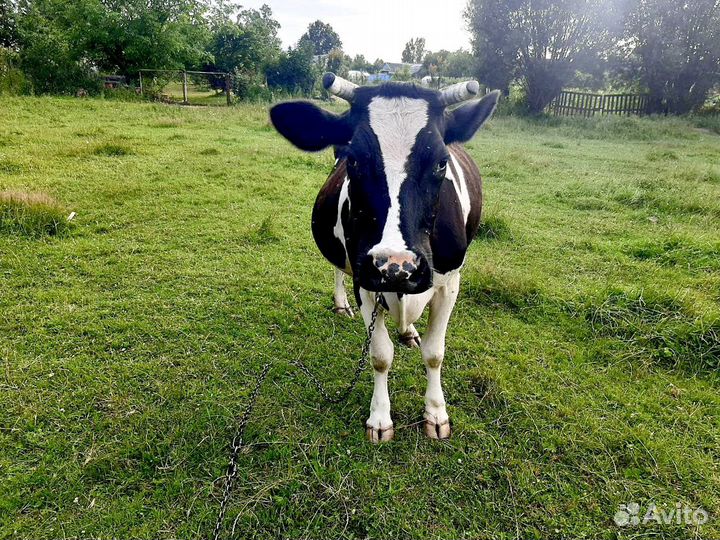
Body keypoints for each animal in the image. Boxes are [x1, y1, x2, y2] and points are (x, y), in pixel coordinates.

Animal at [270, 73, 499, 443]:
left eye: (441, 162)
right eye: (354, 160)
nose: (396, 266)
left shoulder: (450, 281)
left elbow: (434, 353)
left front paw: (436, 412)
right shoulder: (366, 281)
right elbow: (379, 355)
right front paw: (380, 418)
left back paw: (409, 332)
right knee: (339, 269)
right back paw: (341, 304)